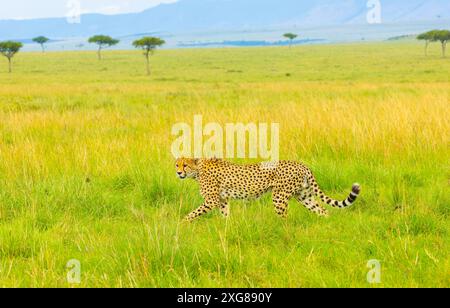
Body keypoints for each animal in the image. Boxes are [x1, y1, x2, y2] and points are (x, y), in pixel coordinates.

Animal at [174, 159, 360, 221]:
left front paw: (183, 222)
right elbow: (225, 215)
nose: (178, 172)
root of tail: (301, 164)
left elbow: (194, 212)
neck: (198, 170)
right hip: (304, 196)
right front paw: (226, 228)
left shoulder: (212, 200)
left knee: (284, 218)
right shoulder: (223, 200)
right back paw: (326, 225)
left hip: (279, 196)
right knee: (323, 210)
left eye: (185, 165)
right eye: (177, 164)